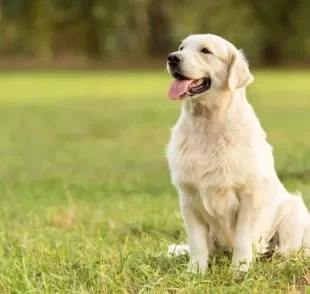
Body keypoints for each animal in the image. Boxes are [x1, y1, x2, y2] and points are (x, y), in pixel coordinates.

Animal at [166, 33, 310, 272]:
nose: (172, 58)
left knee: (290, 251)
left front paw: (239, 271)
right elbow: (197, 243)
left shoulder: (249, 196)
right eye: (181, 47)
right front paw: (195, 271)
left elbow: (243, 239)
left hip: (294, 209)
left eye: (205, 51)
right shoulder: (189, 197)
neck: (208, 125)